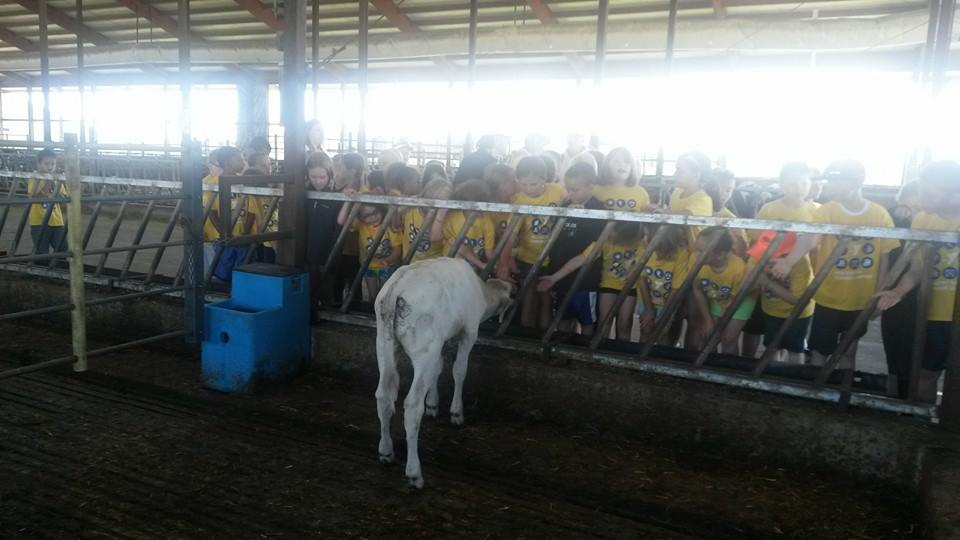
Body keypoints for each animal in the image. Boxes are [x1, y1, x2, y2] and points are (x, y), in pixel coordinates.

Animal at [374, 258, 512, 490]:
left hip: (384, 344)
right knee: (412, 405)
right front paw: (456, 413)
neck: (482, 292)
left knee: (384, 396)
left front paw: (433, 404)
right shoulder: (468, 332)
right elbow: (459, 370)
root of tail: (396, 289)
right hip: (424, 346)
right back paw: (414, 473)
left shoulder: (441, 340)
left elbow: (437, 369)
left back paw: (386, 452)